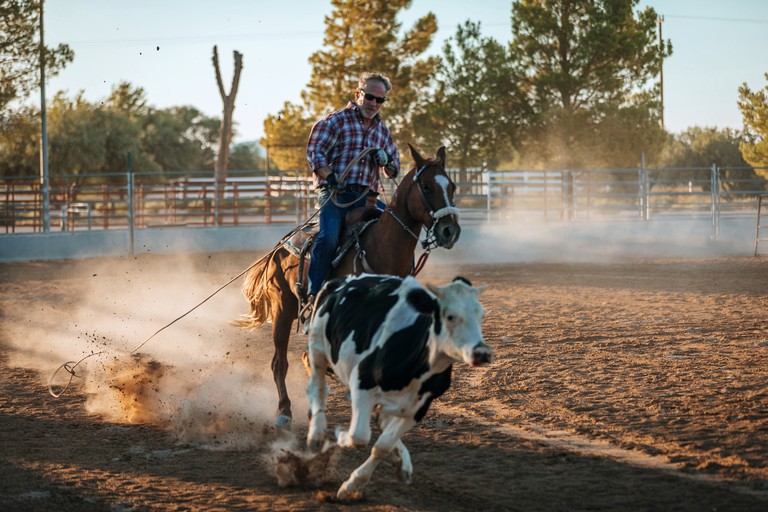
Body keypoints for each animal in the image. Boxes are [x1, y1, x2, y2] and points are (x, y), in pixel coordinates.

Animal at [234, 145, 462, 428]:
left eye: (452, 185)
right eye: (427, 186)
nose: (450, 230)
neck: (380, 247)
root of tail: (279, 248)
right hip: (283, 309)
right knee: (279, 362)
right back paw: (285, 411)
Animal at [304, 274, 488, 498]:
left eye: (481, 315)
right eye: (450, 316)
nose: (482, 352)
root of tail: (342, 280)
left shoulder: (419, 407)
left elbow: (382, 445)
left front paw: (352, 485)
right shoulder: (362, 382)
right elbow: (359, 435)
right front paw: (340, 435)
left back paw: (403, 464)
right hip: (317, 348)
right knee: (318, 389)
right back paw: (316, 436)